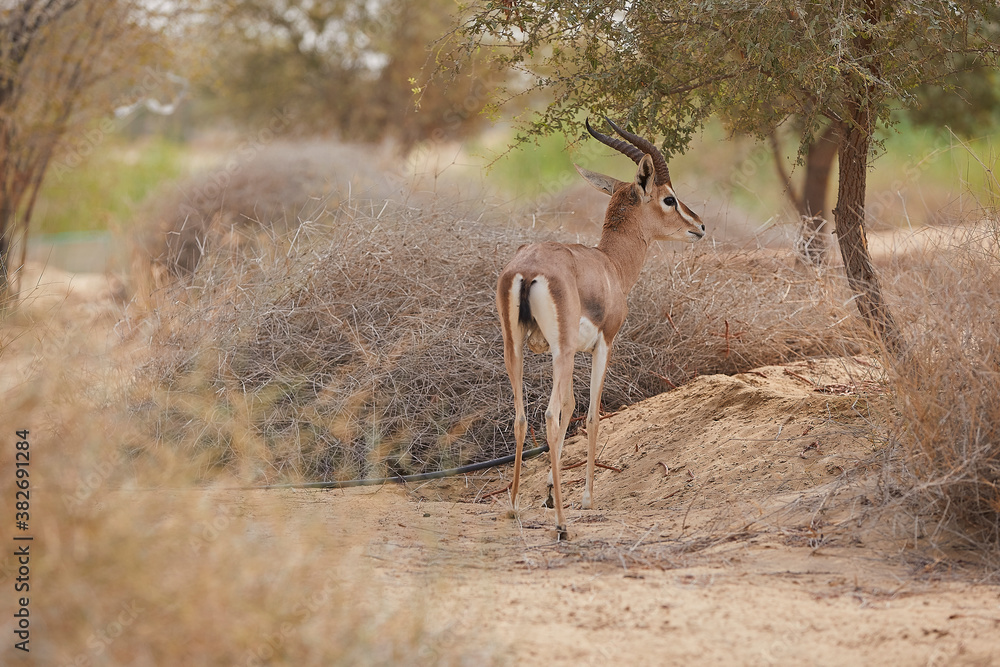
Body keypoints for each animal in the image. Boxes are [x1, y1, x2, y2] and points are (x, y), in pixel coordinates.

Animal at [496, 118, 705, 540]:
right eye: (669, 199)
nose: (700, 226)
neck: (609, 265)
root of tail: (527, 270)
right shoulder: (603, 344)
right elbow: (589, 415)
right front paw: (587, 498)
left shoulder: (571, 352)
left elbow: (571, 409)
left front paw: (549, 493)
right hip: (558, 352)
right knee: (548, 417)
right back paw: (562, 526)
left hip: (516, 348)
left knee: (523, 417)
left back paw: (513, 507)